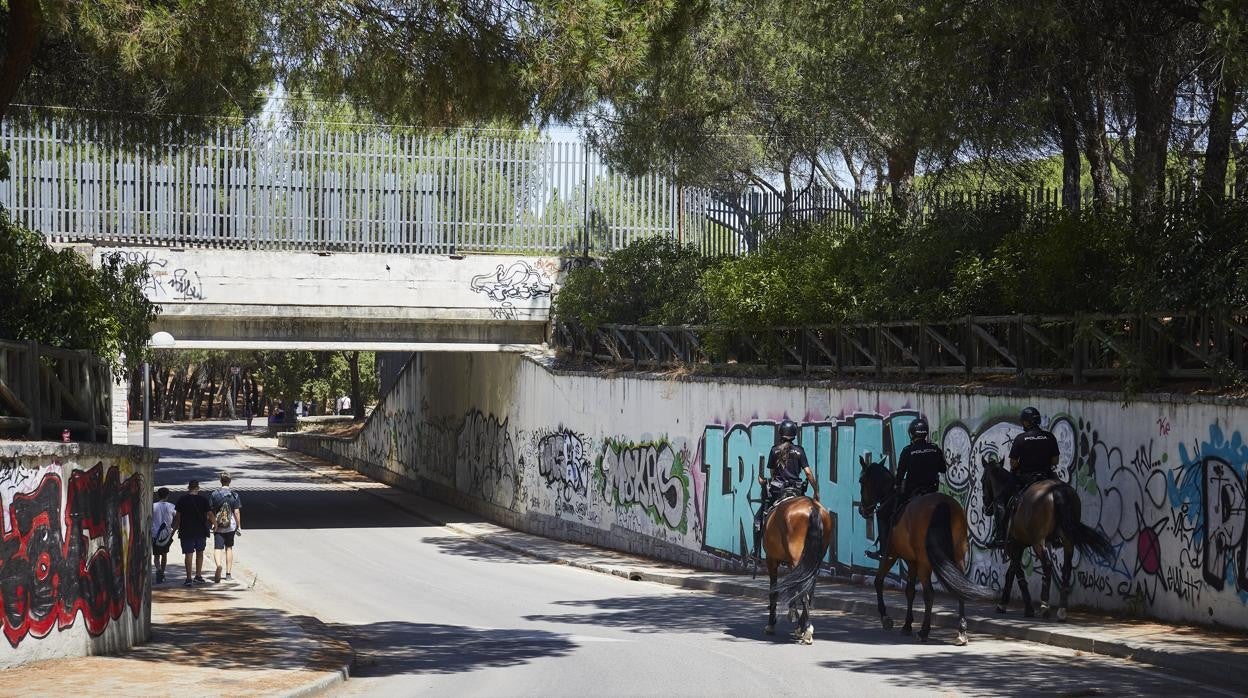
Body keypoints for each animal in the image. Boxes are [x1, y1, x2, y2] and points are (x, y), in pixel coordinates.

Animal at [758, 496, 828, 644]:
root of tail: (812, 506)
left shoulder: (771, 560)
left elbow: (774, 592)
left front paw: (771, 624)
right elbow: (794, 589)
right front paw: (797, 623)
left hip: (797, 558)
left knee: (803, 591)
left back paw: (807, 630)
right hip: (814, 561)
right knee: (808, 590)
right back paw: (804, 627)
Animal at [858, 462, 983, 649]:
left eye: (861, 481)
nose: (862, 510)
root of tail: (943, 504)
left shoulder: (893, 555)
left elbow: (879, 581)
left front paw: (886, 618)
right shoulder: (912, 561)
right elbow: (910, 590)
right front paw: (907, 625)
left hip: (925, 562)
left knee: (929, 594)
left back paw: (924, 631)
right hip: (958, 557)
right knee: (959, 589)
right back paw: (961, 632)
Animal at [983, 464, 1113, 621]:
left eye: (983, 480)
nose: (986, 507)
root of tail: (1056, 490)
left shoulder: (1011, 545)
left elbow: (1017, 573)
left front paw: (1025, 607)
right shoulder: (1019, 545)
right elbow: (1011, 572)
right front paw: (1004, 603)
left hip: (1038, 541)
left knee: (1048, 565)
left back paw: (1045, 606)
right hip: (1068, 539)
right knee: (1066, 568)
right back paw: (1062, 610)